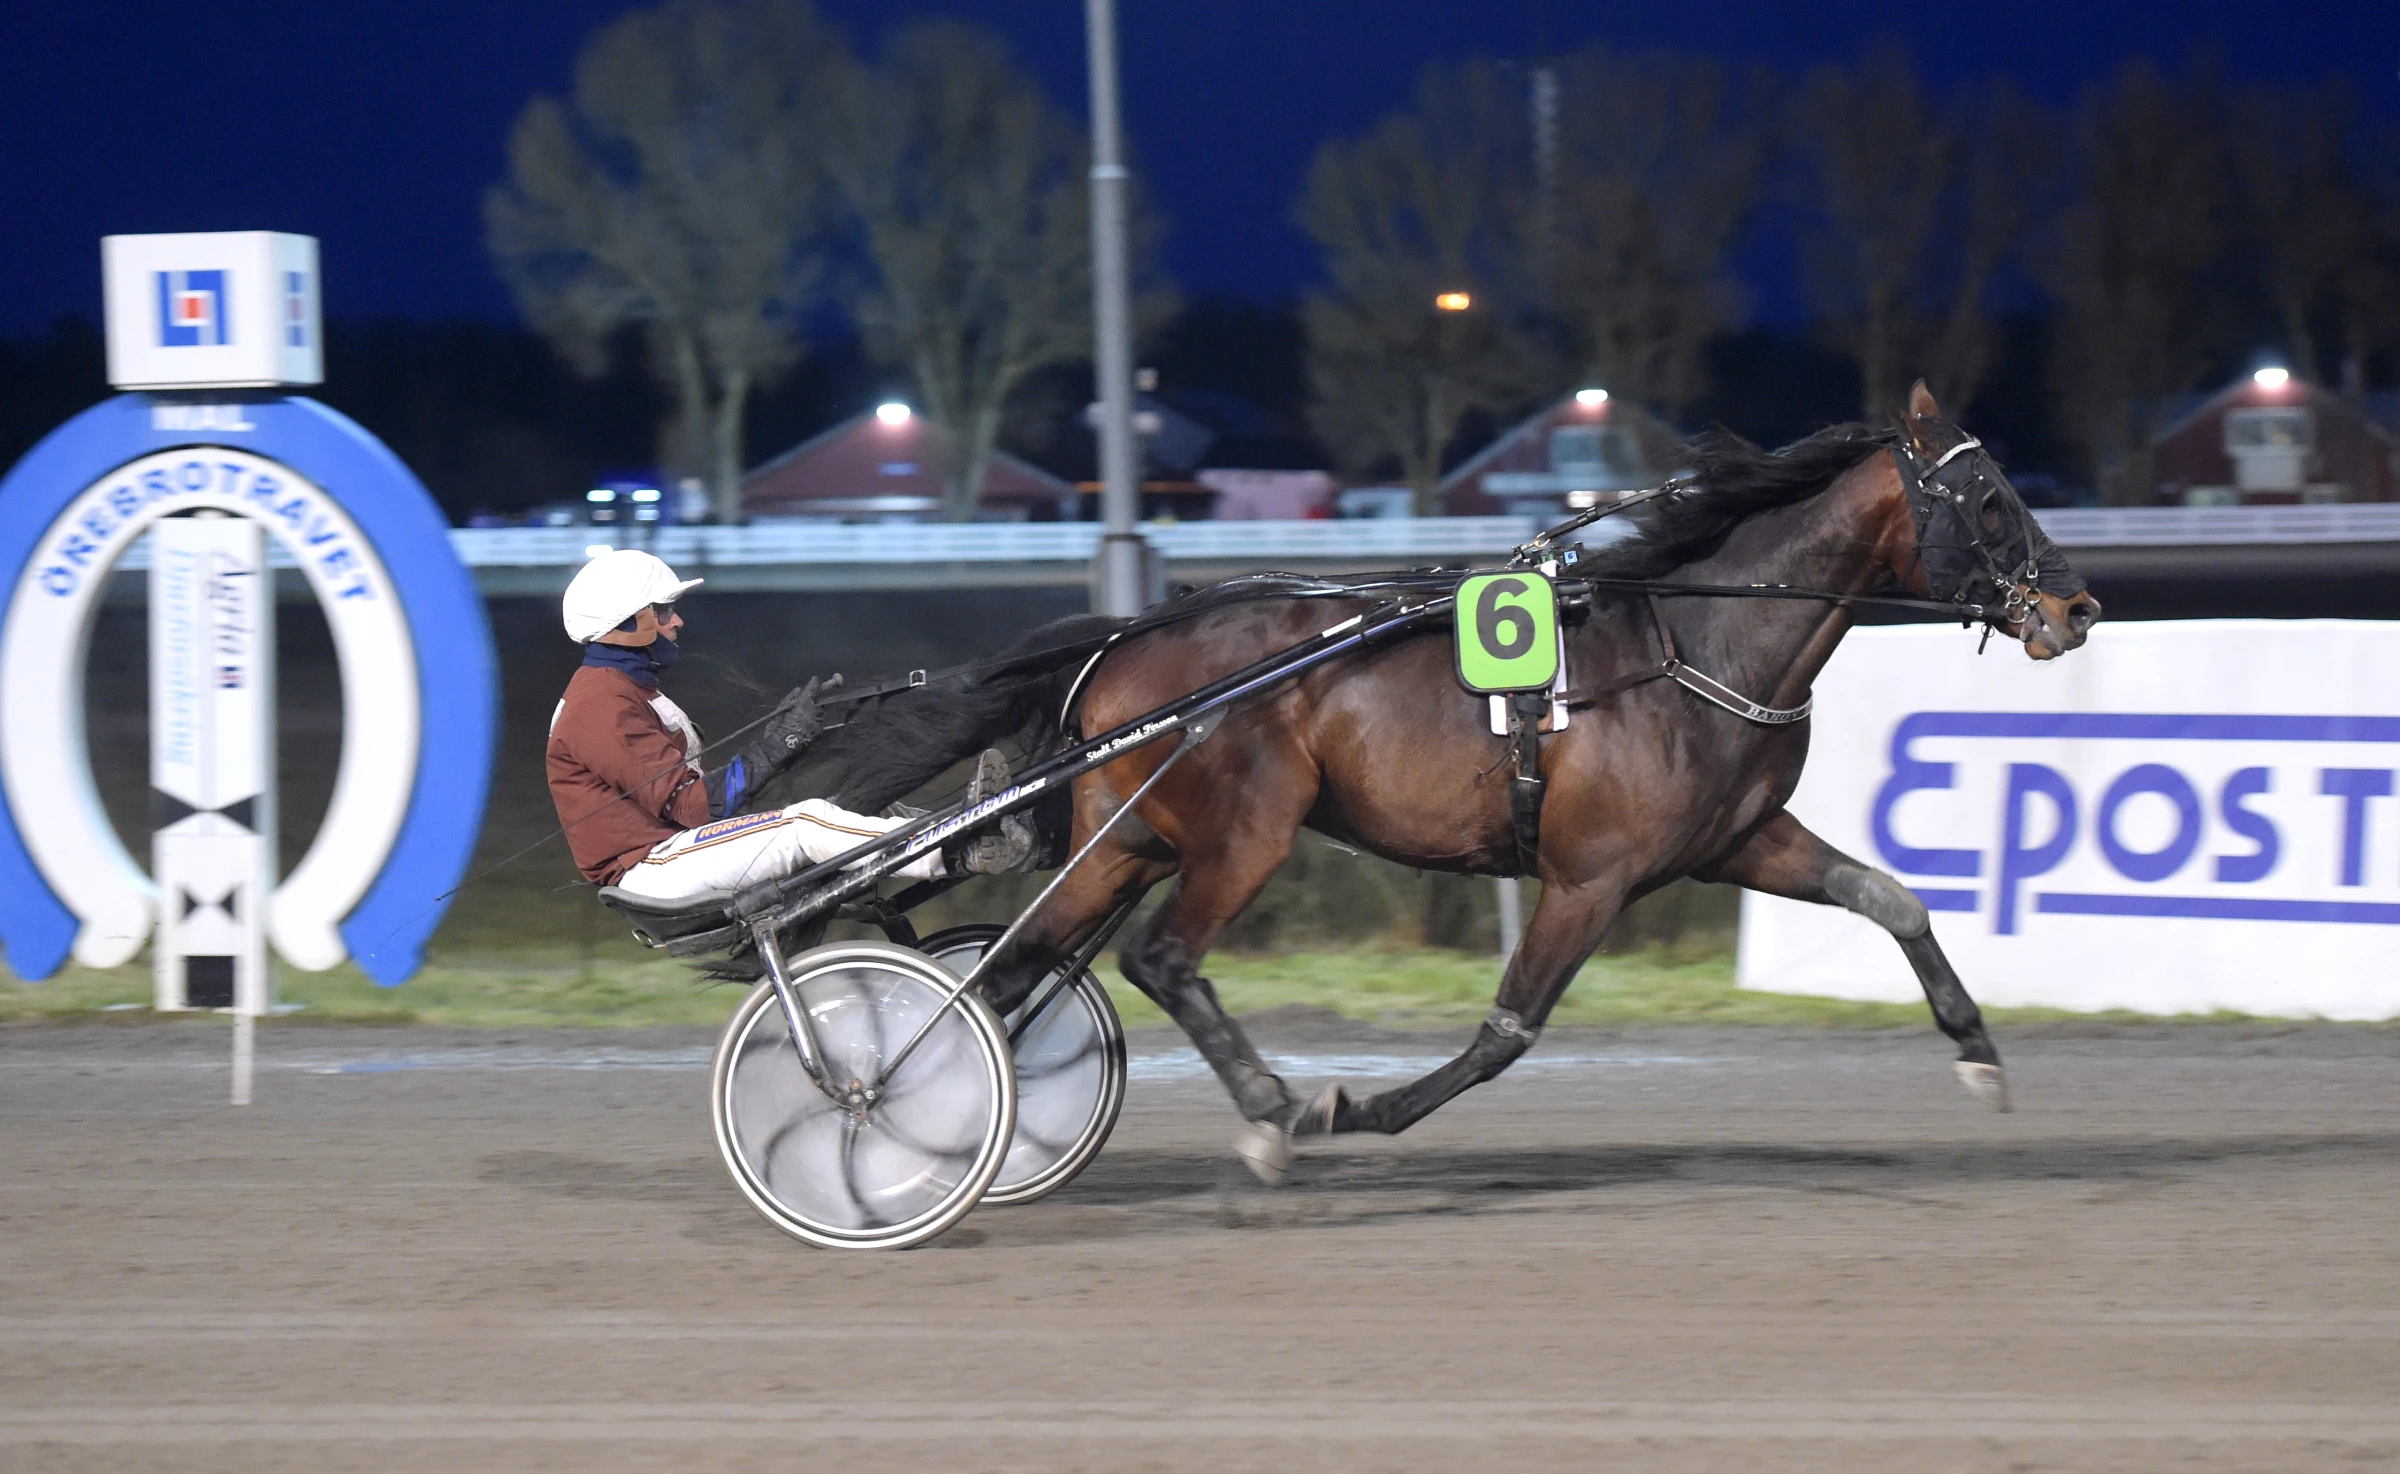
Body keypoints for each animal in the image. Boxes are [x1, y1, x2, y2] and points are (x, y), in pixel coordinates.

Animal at [772, 386, 2102, 1185]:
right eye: (1991, 499)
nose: (2078, 606)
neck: (1695, 642)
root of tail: (1129, 638)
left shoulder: (1737, 841)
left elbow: (1894, 898)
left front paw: (1978, 1051)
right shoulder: (1592, 873)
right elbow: (1510, 1029)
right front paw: (1349, 1112)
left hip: (1130, 836)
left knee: (1014, 977)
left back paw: (928, 1112)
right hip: (1243, 832)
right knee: (1159, 959)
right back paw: (1267, 1111)